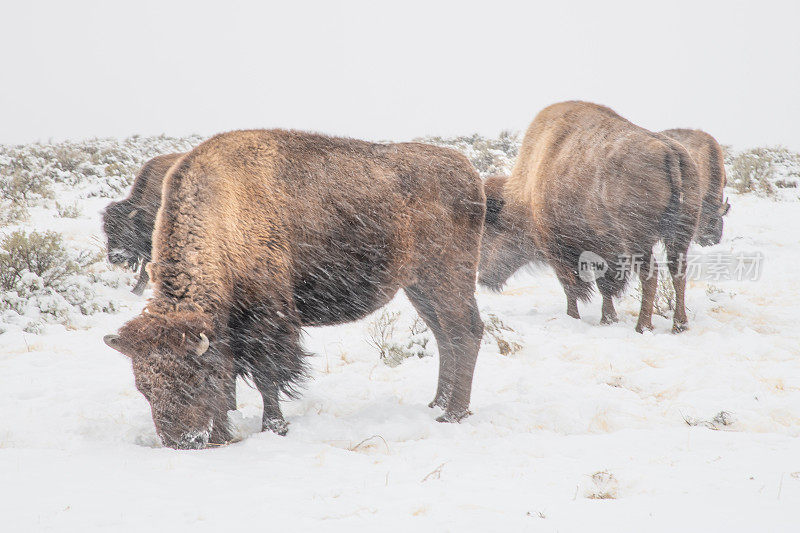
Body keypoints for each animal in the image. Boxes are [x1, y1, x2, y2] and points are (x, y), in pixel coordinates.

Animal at [482, 100, 700, 332]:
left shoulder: (560, 250)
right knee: (677, 270)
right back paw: (679, 325)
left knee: (649, 273)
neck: (528, 188)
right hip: (680, 234)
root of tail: (670, 150)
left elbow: (574, 287)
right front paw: (608, 319)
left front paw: (575, 316)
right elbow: (604, 286)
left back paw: (643, 326)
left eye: (488, 231)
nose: (482, 277)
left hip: (638, 240)